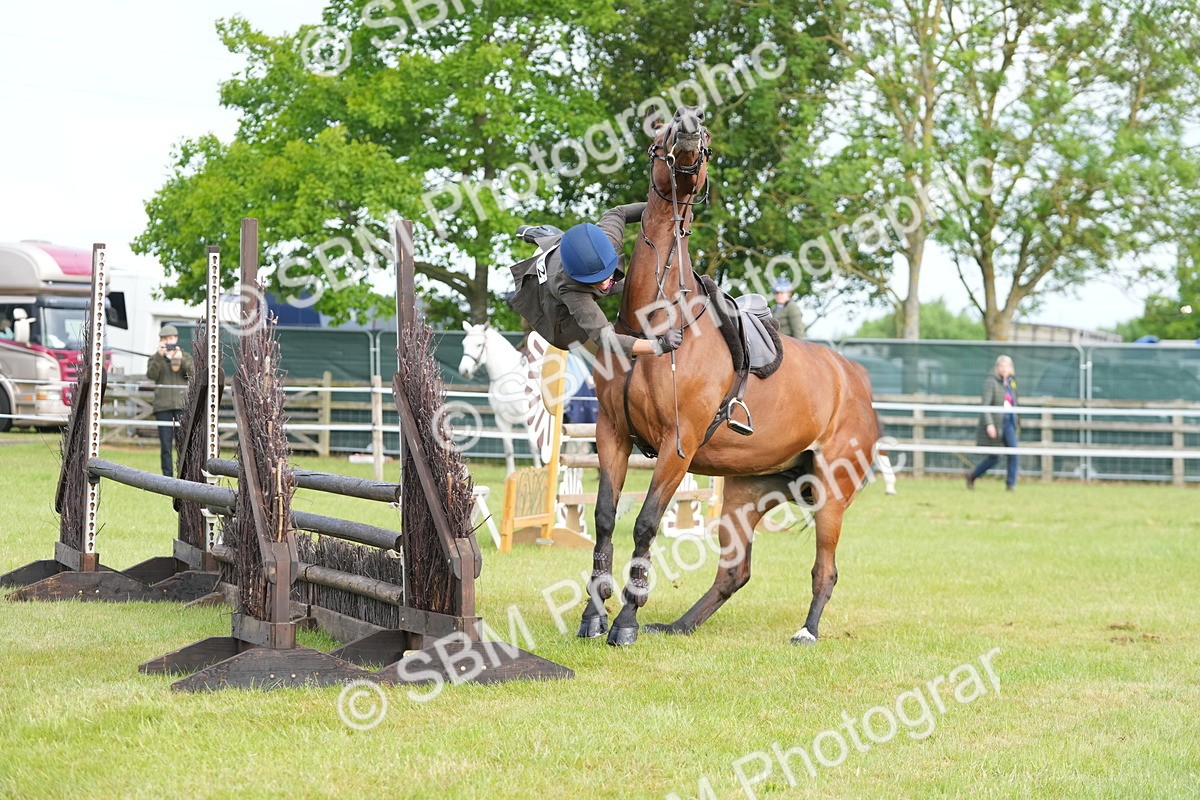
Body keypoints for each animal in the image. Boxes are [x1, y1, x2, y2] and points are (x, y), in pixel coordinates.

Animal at [458, 322, 548, 474]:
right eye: (464, 343)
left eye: (479, 344)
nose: (464, 371)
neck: (507, 379)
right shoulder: (501, 420)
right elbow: (508, 449)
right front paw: (510, 475)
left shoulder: (527, 419)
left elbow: (533, 447)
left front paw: (537, 471)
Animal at [580, 105, 882, 646]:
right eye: (662, 126)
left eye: (705, 132)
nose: (689, 122)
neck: (655, 323)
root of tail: (855, 381)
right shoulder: (612, 433)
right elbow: (605, 518)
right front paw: (594, 614)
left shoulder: (677, 446)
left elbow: (646, 524)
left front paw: (626, 621)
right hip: (745, 493)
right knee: (733, 572)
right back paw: (678, 626)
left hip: (831, 493)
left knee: (824, 569)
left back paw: (806, 631)